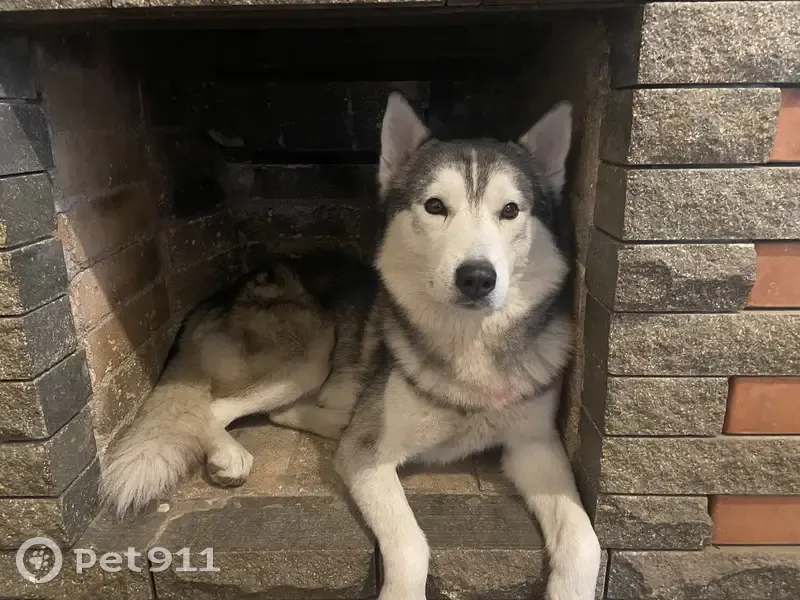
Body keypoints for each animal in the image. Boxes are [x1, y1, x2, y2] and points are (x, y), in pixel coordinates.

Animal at [273, 92, 602, 599]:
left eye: (510, 210)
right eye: (434, 206)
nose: (477, 277)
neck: (470, 351)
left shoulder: (535, 445)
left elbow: (585, 541)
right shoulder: (366, 455)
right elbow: (411, 543)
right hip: (302, 362)